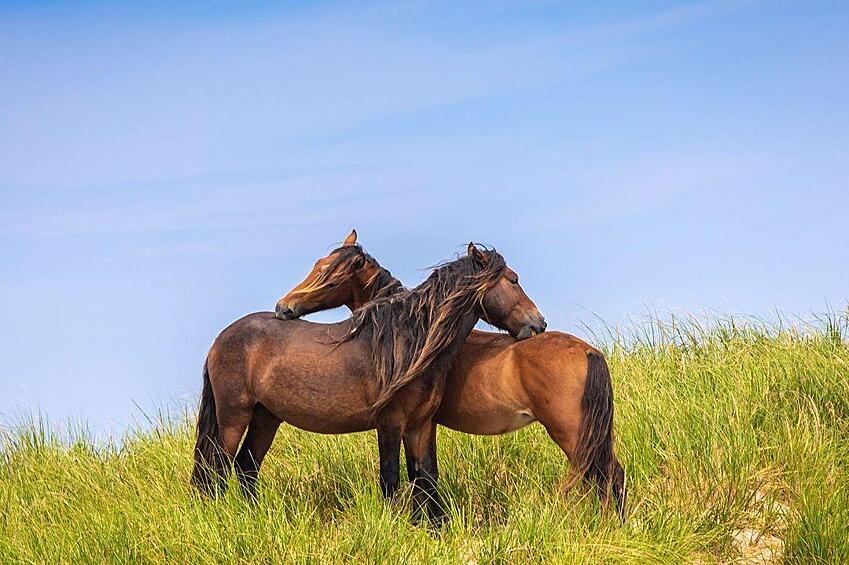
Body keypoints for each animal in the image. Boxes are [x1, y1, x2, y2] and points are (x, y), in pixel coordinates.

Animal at [194, 240, 544, 524]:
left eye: (329, 274)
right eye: (514, 280)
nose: (538, 323)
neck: (408, 342)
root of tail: (220, 340)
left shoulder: (421, 424)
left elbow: (427, 477)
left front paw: (433, 528)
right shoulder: (389, 423)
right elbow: (391, 478)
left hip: (266, 417)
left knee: (246, 467)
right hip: (234, 416)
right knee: (218, 467)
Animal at [274, 230, 628, 520]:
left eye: (328, 276)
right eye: (318, 266)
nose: (283, 307)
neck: (420, 331)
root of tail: (588, 351)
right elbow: (423, 478)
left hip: (572, 433)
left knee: (607, 475)